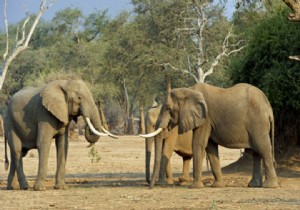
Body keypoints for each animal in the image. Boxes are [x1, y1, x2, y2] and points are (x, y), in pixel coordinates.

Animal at [142, 82, 278, 189]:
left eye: (168, 108)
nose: (150, 187)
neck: (188, 90)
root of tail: (269, 108)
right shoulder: (208, 121)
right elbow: (210, 147)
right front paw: (218, 186)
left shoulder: (205, 118)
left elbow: (198, 143)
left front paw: (194, 187)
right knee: (257, 153)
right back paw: (254, 185)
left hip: (258, 122)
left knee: (263, 148)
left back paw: (270, 186)